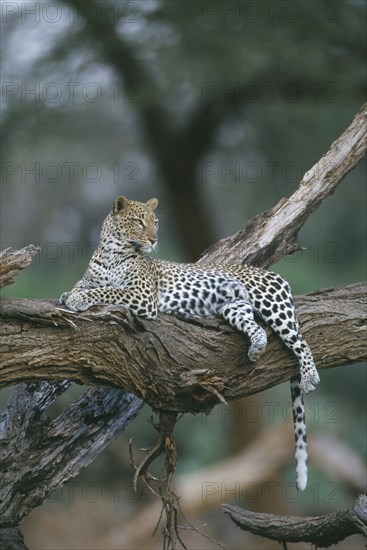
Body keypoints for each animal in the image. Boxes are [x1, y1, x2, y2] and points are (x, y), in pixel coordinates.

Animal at [59, 197, 320, 492]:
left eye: (155, 222)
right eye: (138, 222)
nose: (154, 240)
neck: (110, 253)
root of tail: (276, 276)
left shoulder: (141, 296)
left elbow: (107, 291)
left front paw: (79, 299)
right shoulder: (97, 279)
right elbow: (84, 285)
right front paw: (70, 294)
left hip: (272, 304)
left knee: (301, 342)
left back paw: (310, 376)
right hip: (235, 307)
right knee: (257, 329)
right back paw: (256, 348)